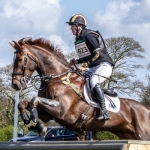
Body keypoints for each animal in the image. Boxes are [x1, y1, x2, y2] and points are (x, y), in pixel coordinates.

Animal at [10, 37, 150, 141]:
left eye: (20, 59)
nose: (15, 85)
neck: (58, 77)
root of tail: (146, 109)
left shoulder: (62, 111)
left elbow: (34, 100)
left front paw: (35, 121)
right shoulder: (48, 114)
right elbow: (23, 104)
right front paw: (32, 123)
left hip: (143, 136)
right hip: (127, 135)